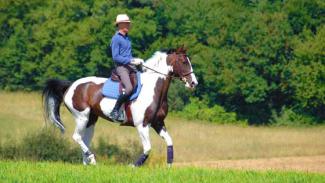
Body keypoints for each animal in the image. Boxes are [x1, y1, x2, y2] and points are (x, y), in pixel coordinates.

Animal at [41, 46, 199, 167]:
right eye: (184, 62)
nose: (193, 83)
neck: (153, 89)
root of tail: (70, 85)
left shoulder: (158, 123)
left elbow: (169, 142)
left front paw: (169, 166)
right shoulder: (142, 125)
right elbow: (147, 148)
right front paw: (134, 165)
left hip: (91, 120)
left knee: (84, 139)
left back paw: (88, 163)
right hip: (82, 117)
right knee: (77, 137)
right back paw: (92, 158)